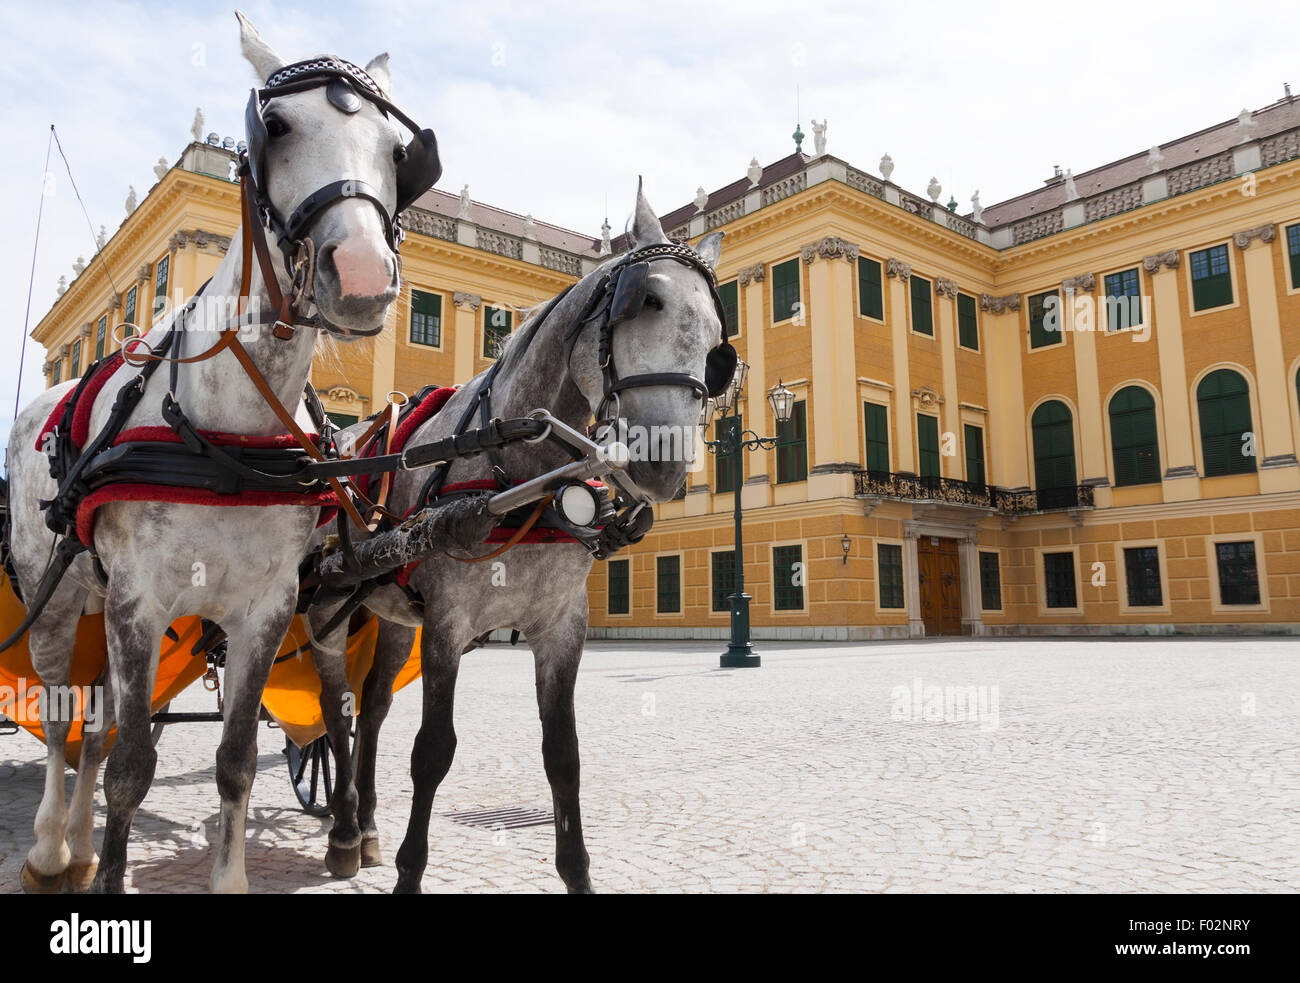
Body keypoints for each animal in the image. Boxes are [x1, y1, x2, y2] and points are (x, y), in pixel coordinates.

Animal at [4, 12, 439, 893]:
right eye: (278, 126)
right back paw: (53, 849)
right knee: (67, 723)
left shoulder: (264, 606)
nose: (362, 273)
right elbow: (132, 766)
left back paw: (82, 841)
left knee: (97, 724)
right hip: (57, 598)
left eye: (394, 148)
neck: (229, 435)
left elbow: (232, 759)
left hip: (103, 603)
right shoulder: (141, 598)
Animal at [305, 184, 733, 892]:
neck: (521, 480)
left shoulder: (561, 625)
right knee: (334, 709)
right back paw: (341, 829)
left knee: (371, 709)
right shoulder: (449, 621)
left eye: (720, 343)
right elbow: (432, 753)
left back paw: (364, 825)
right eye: (646, 300)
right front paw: (410, 870)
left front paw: (577, 870)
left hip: (390, 616)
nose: (665, 461)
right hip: (325, 606)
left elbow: (563, 755)